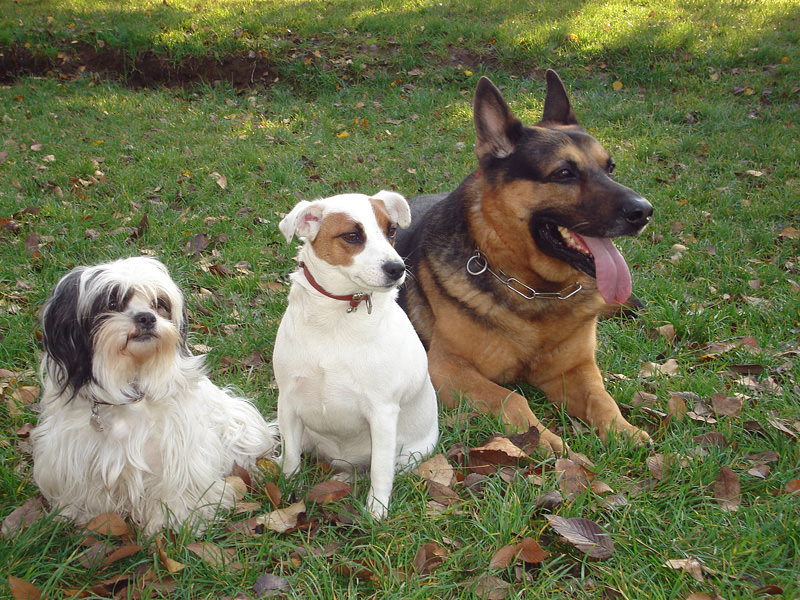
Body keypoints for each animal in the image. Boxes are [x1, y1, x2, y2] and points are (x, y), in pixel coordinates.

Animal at [32, 256, 282, 536]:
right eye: (112, 303)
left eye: (158, 304)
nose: (146, 317)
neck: (130, 385)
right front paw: (82, 515)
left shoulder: (175, 456)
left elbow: (175, 492)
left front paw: (174, 522)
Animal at [274, 192, 438, 520]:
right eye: (352, 236)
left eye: (391, 230)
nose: (397, 268)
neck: (335, 319)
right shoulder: (287, 401)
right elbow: (291, 458)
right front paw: (289, 488)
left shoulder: (383, 412)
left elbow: (380, 471)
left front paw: (377, 510)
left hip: (409, 455)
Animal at [396, 70, 652, 452]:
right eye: (564, 173)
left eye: (610, 167)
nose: (644, 212)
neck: (537, 291)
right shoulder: (446, 368)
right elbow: (512, 398)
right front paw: (549, 442)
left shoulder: (574, 370)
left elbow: (602, 398)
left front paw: (624, 431)